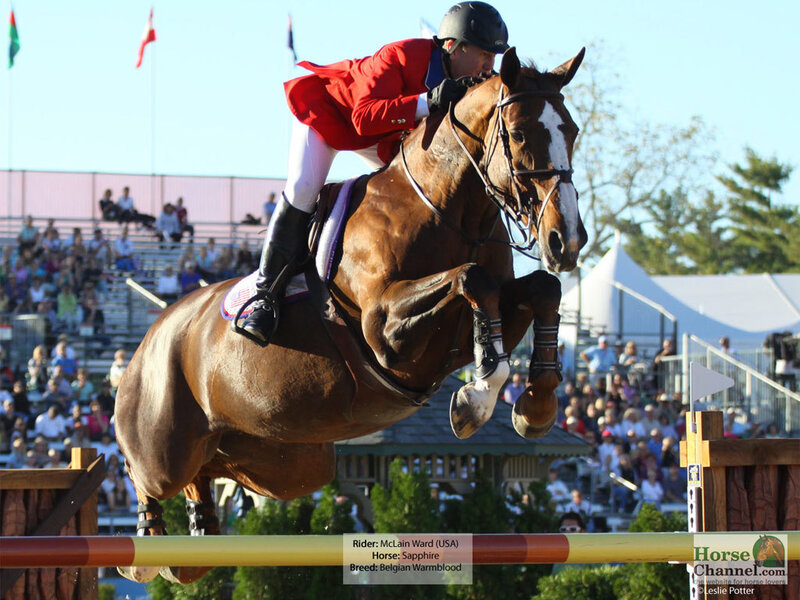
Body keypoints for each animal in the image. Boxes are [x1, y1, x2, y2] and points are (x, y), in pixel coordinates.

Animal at [115, 47, 587, 584]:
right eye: (521, 133)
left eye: (572, 130)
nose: (567, 240)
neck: (447, 211)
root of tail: (151, 335)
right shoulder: (385, 331)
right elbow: (472, 280)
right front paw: (477, 396)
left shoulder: (482, 315)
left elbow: (540, 288)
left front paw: (535, 405)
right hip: (164, 444)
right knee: (147, 474)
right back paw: (147, 546)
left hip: (287, 463)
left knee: (210, 473)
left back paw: (195, 535)